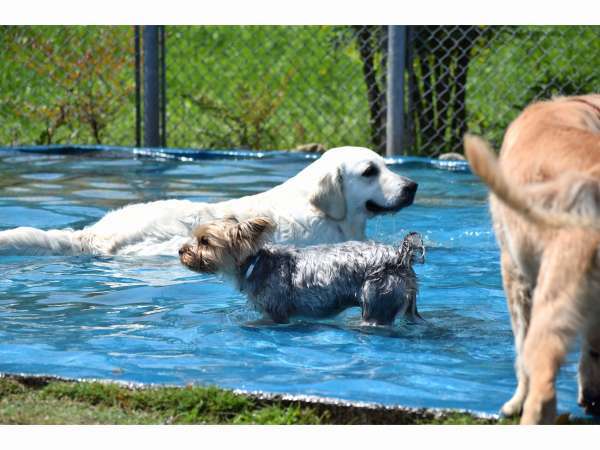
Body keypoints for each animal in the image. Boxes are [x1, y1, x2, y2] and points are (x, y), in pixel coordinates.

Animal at [179, 217, 426, 326]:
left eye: (204, 241)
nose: (181, 250)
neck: (256, 263)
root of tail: (400, 256)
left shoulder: (276, 312)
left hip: (378, 298)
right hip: (408, 305)